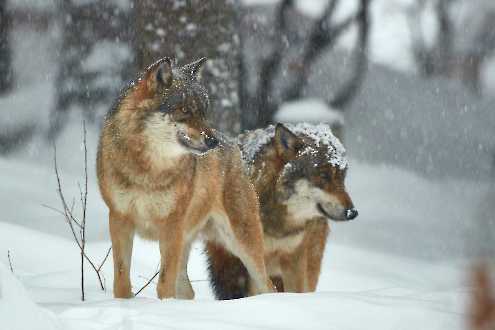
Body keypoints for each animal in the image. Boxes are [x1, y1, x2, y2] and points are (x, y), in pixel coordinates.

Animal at [97, 56, 276, 300]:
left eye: (204, 112)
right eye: (184, 110)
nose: (213, 142)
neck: (148, 170)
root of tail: (234, 144)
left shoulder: (171, 225)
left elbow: (164, 285)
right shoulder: (119, 219)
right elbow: (122, 280)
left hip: (241, 242)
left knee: (269, 285)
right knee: (189, 291)